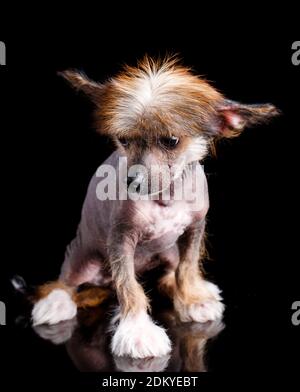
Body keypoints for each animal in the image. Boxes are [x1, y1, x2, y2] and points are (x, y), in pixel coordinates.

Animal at [30, 56, 278, 358]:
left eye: (171, 141)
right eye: (124, 140)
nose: (131, 181)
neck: (166, 198)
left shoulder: (195, 229)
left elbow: (187, 267)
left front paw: (192, 298)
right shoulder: (121, 240)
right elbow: (129, 286)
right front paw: (137, 331)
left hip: (168, 252)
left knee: (170, 271)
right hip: (82, 260)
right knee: (65, 282)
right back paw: (54, 303)